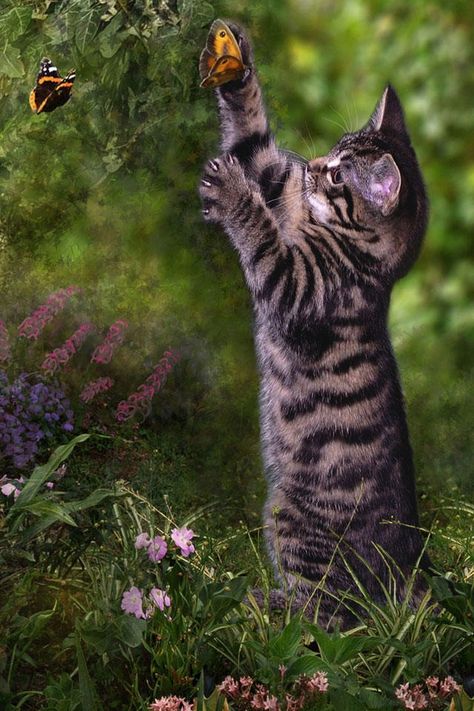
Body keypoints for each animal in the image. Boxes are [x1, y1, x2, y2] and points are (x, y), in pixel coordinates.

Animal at [200, 22, 430, 624]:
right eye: (332, 154)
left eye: (337, 175)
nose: (311, 166)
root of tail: (408, 570)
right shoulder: (282, 191)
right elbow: (254, 143)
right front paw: (235, 61)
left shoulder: (297, 283)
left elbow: (258, 230)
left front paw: (232, 194)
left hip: (293, 523)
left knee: (328, 614)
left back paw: (263, 603)